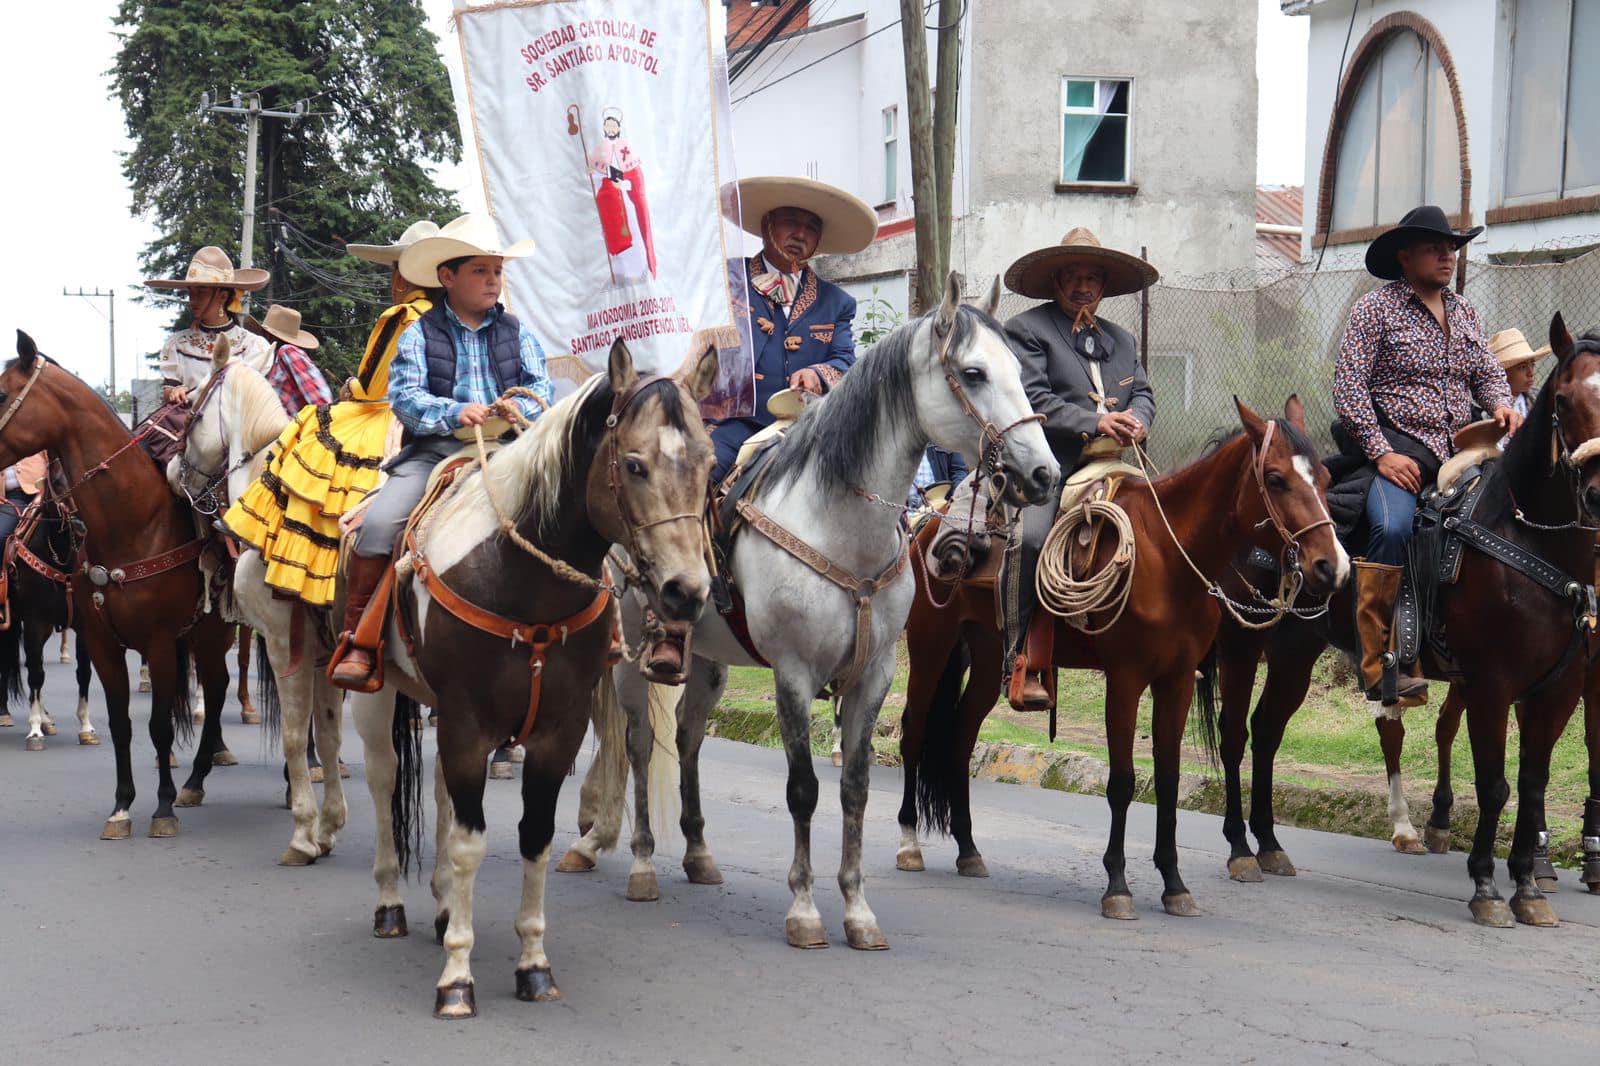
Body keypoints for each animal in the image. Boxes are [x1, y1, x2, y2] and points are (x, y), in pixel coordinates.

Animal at [0, 332, 236, 838]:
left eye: (3, 394)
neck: (134, 523)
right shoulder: (100, 641)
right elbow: (120, 723)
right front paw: (122, 806)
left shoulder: (160, 642)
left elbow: (160, 726)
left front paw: (162, 809)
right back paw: (196, 780)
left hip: (229, 630)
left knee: (232, 690)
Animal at [563, 275, 1062, 947]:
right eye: (974, 372)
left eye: (1019, 370)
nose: (1043, 473)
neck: (839, 527)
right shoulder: (794, 674)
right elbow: (803, 789)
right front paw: (803, 909)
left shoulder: (873, 676)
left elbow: (854, 789)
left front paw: (857, 909)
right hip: (632, 654)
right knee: (641, 745)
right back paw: (639, 862)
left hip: (709, 664)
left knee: (689, 740)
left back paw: (698, 855)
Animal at [902, 393, 1350, 915]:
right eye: (1275, 478)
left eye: (1326, 479)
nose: (1333, 566)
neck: (1167, 556)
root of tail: (930, 521)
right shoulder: (1125, 679)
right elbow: (1122, 782)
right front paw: (1117, 885)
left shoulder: (1176, 681)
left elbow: (1169, 780)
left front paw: (1174, 884)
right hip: (930, 643)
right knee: (914, 730)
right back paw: (909, 844)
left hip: (991, 652)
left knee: (959, 737)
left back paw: (969, 849)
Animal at [1209, 313, 1600, 921]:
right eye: (1562, 399)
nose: (1598, 491)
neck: (1525, 540)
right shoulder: (1491, 684)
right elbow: (1495, 784)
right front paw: (1486, 886)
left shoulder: (1560, 688)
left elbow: (1532, 783)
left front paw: (1529, 889)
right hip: (1242, 644)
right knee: (1234, 734)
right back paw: (1239, 848)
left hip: (1295, 653)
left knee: (1267, 731)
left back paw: (1269, 844)